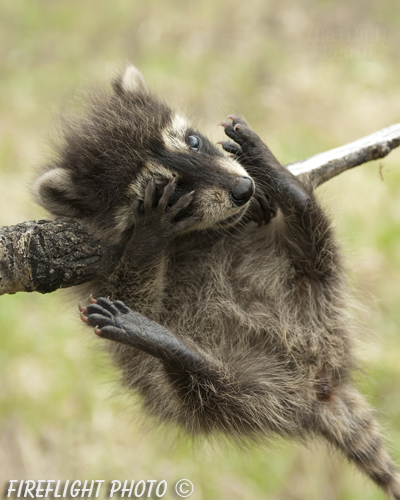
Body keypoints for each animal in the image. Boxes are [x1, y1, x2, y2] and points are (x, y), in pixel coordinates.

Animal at [33, 66, 400, 500]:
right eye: (170, 187)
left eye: (193, 141)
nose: (243, 190)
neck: (191, 236)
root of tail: (321, 380)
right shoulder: (101, 273)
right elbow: (131, 290)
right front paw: (147, 239)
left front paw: (263, 182)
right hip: (236, 397)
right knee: (206, 388)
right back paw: (171, 347)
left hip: (319, 287)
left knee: (317, 239)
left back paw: (289, 186)